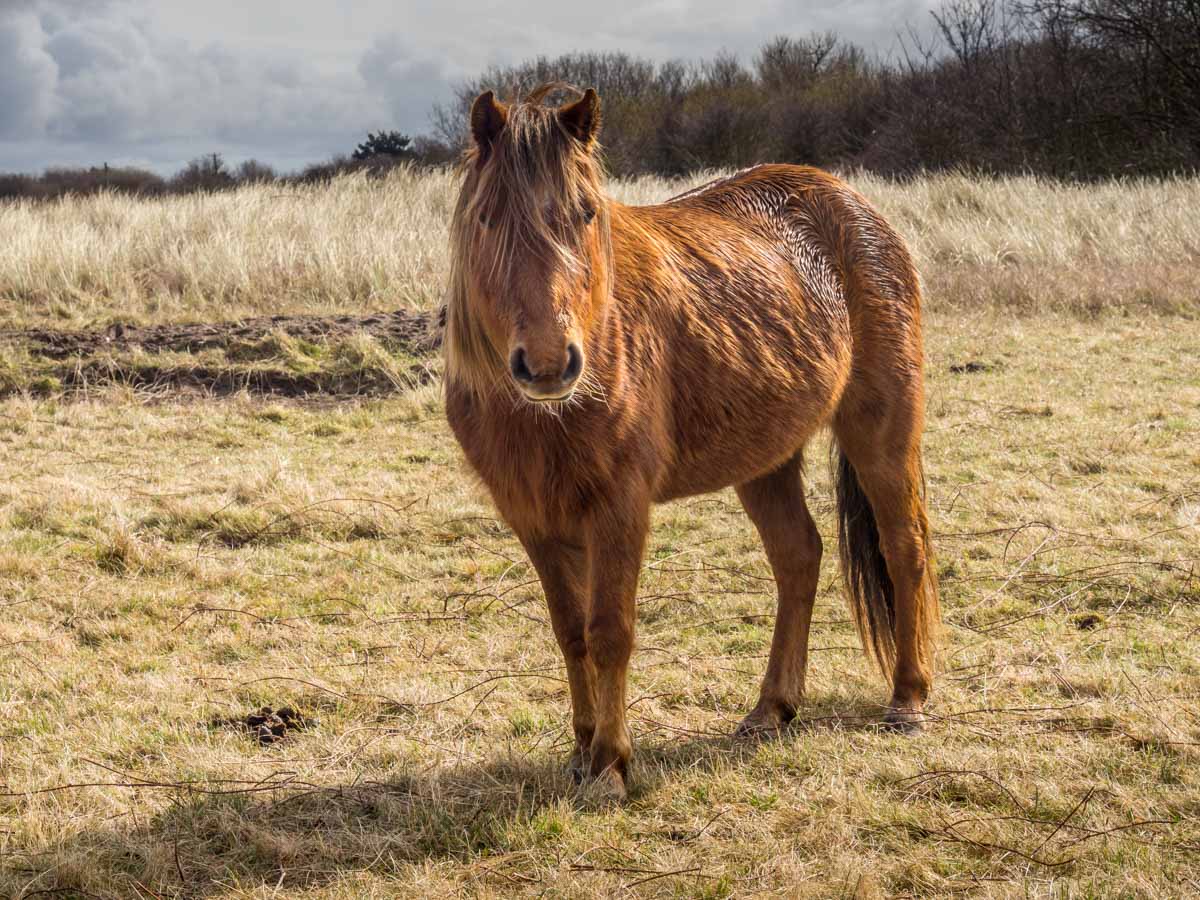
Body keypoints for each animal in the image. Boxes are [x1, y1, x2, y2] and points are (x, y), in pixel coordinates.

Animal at [441, 84, 936, 801]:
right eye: (486, 218)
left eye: (586, 214)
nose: (548, 364)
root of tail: (854, 205)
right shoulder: (534, 518)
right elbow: (570, 633)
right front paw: (582, 750)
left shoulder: (619, 507)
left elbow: (609, 631)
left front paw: (611, 765)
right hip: (766, 458)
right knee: (799, 557)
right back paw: (770, 709)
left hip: (881, 430)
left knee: (905, 549)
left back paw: (909, 698)